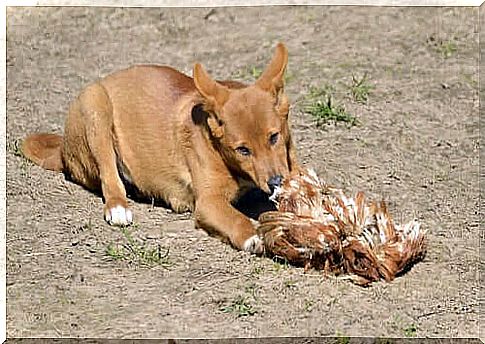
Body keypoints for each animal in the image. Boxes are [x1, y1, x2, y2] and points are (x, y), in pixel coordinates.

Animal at [21, 42, 298, 253]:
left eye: (274, 137)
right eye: (243, 150)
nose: (275, 182)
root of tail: (63, 150)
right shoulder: (208, 201)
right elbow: (234, 217)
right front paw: (255, 235)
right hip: (95, 105)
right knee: (109, 176)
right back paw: (118, 207)